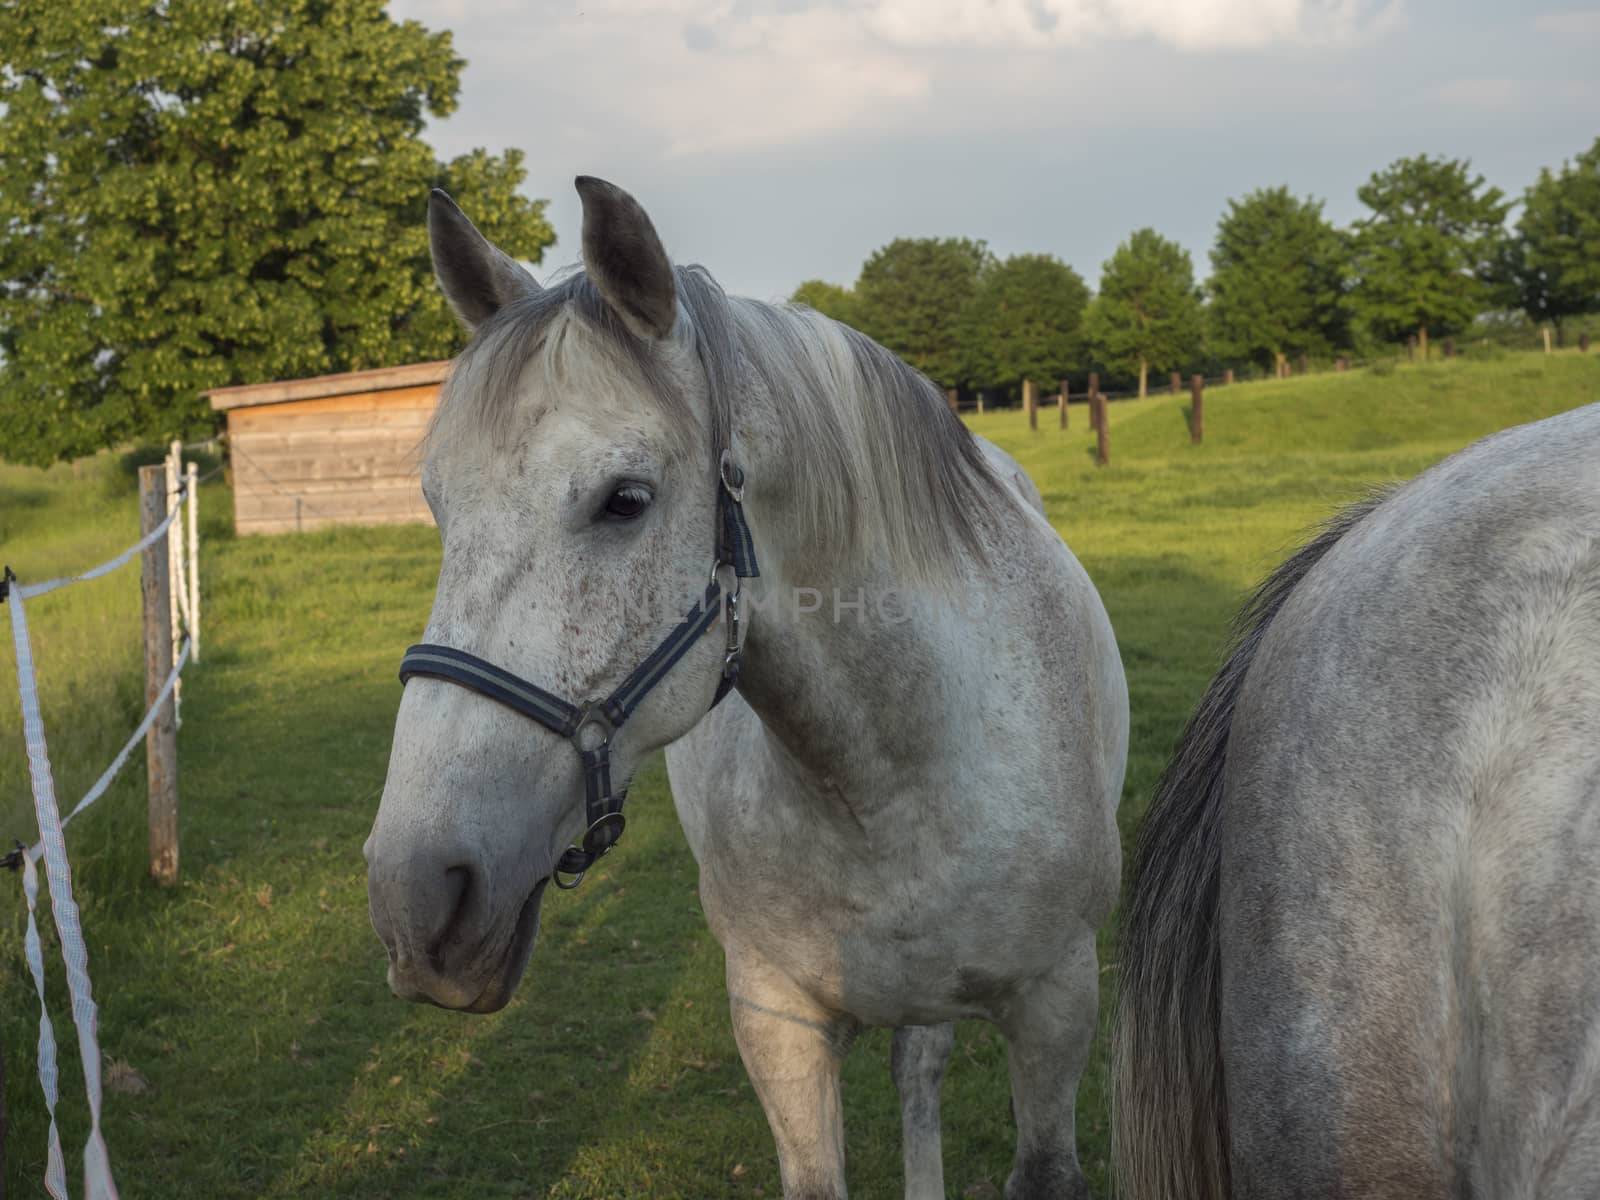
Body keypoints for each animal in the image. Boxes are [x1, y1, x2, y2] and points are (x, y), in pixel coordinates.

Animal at [368, 178, 1132, 1200]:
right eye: (438, 506)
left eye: (624, 499)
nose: (414, 897)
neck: (891, 781)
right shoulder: (779, 1028)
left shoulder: (1057, 1013)